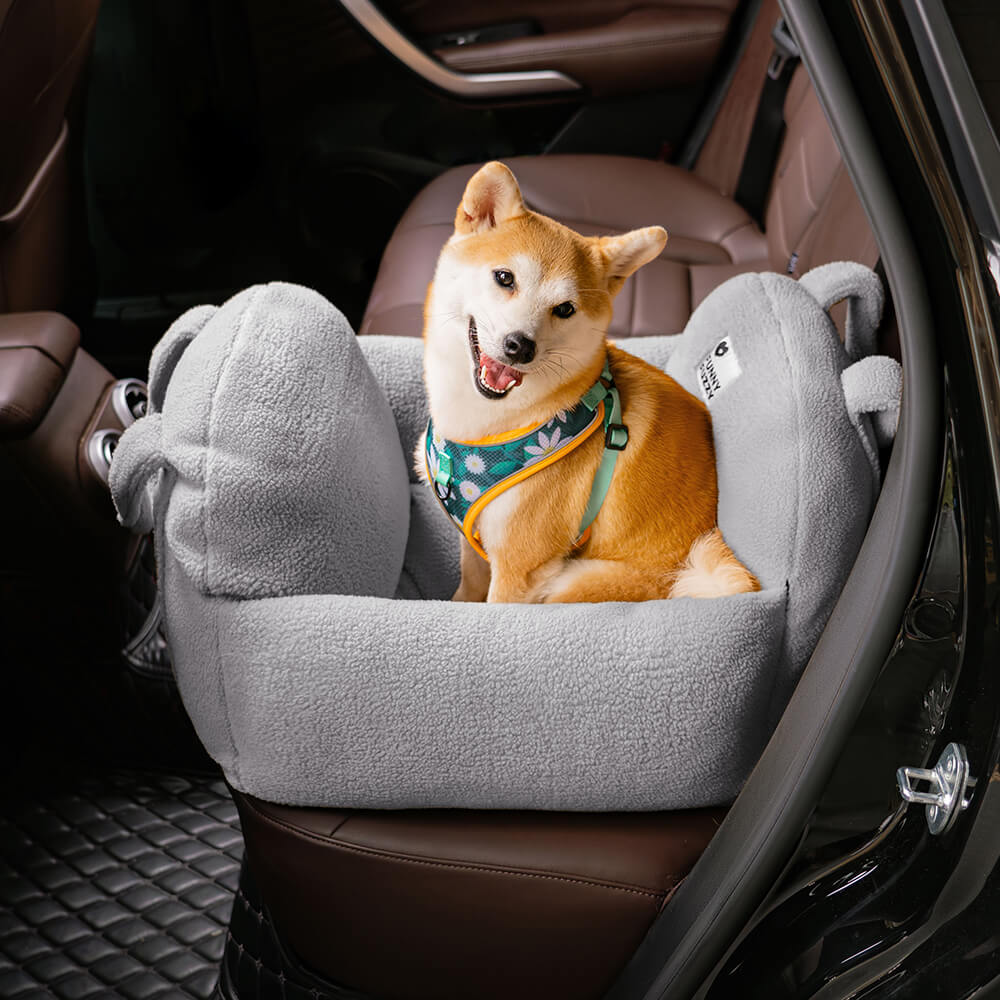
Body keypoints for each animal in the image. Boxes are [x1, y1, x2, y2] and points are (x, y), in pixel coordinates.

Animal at [416, 160, 756, 604]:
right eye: (504, 277)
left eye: (565, 309)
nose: (520, 346)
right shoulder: (476, 546)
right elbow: (467, 591)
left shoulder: (519, 567)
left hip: (574, 583)